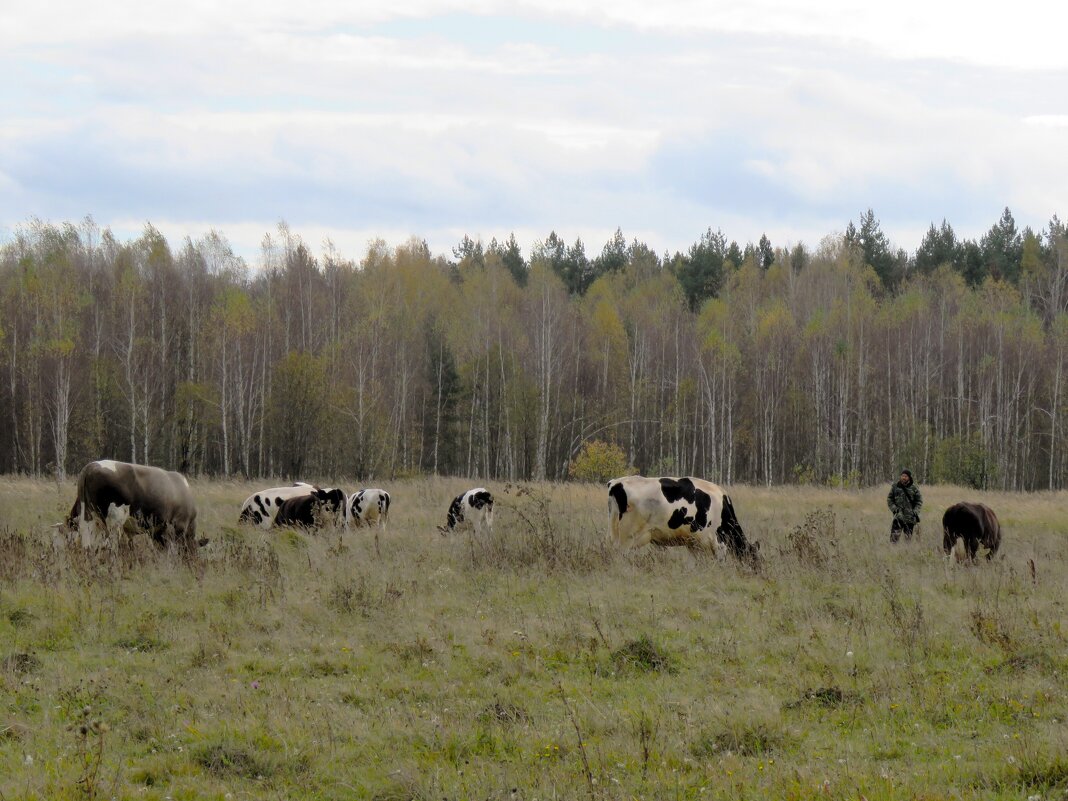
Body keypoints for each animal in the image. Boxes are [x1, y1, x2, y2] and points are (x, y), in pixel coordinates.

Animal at [66, 461, 198, 555]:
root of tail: (90, 467)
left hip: (89, 518)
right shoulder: (179, 525)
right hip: (114, 522)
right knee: (111, 545)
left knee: (88, 544)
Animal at [606, 476, 756, 563]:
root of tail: (616, 483)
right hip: (627, 536)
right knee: (620, 554)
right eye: (754, 559)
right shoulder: (718, 542)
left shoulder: (695, 542)